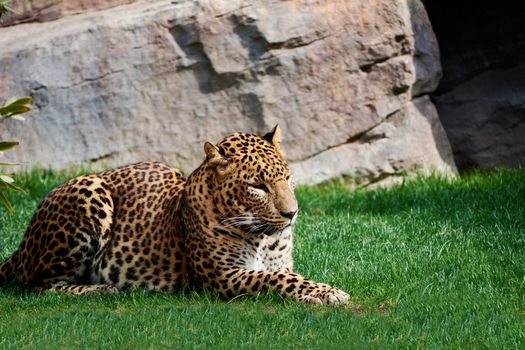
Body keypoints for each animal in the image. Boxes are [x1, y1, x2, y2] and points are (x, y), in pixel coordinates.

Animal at [0, 126, 348, 304]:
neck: (263, 238)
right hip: (89, 188)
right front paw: (329, 292)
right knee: (41, 286)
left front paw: (322, 289)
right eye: (258, 186)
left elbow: (287, 274)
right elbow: (275, 279)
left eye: (287, 178)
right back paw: (103, 289)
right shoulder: (224, 277)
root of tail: (22, 245)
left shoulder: (276, 263)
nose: (292, 213)